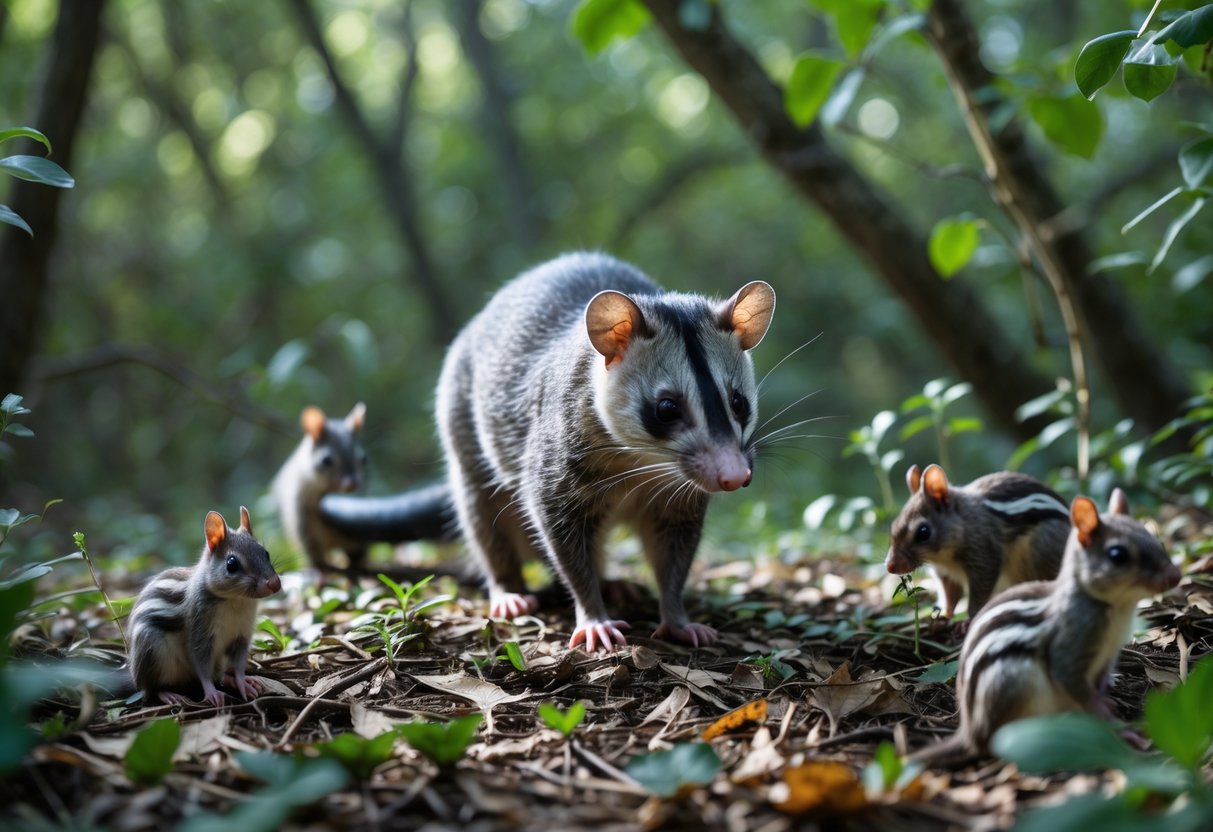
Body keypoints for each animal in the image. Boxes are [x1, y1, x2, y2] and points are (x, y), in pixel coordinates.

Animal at [127, 507, 281, 707]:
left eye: (266, 553)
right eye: (231, 564)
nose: (274, 583)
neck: (235, 601)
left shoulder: (241, 636)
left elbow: (239, 665)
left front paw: (241, 682)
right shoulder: (200, 632)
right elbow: (201, 664)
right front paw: (211, 692)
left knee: (219, 675)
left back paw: (229, 680)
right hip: (151, 650)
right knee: (151, 689)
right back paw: (168, 694)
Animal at [435, 252, 775, 651]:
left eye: (738, 403)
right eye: (666, 408)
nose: (735, 476)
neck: (646, 462)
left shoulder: (680, 493)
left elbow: (675, 549)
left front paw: (676, 616)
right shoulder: (557, 455)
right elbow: (558, 533)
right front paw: (593, 613)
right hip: (460, 421)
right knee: (484, 515)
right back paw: (507, 588)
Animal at [886, 463, 1070, 624]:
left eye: (923, 532)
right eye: (893, 525)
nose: (890, 566)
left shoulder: (984, 557)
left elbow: (979, 595)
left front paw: (969, 621)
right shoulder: (944, 573)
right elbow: (949, 595)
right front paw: (945, 614)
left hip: (1042, 548)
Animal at [910, 489, 1181, 764]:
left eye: (1154, 539)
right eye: (1118, 555)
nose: (1175, 576)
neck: (1116, 608)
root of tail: (971, 731)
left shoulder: (1107, 656)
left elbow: (1099, 686)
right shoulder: (1069, 650)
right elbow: (1074, 682)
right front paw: (1118, 728)